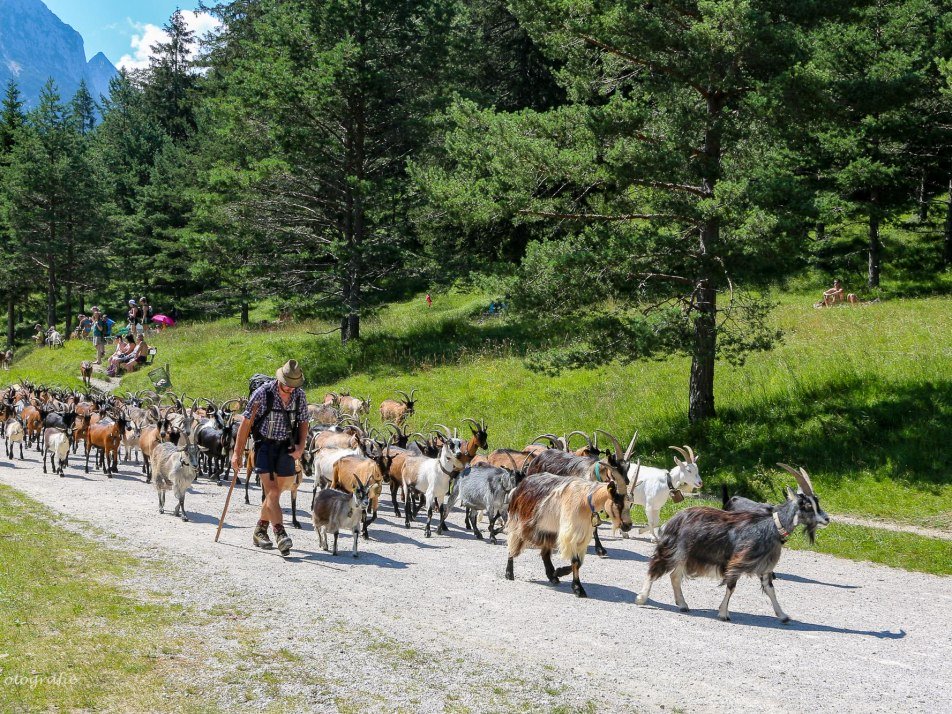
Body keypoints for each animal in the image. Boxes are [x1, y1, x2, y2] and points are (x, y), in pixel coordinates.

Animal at [636, 463, 829, 622]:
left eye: (817, 502)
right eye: (807, 505)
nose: (827, 519)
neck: (773, 525)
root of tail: (675, 518)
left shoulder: (765, 566)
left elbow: (770, 589)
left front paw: (782, 615)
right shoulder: (738, 561)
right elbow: (731, 586)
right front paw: (723, 613)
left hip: (685, 555)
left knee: (675, 576)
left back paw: (683, 604)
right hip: (674, 548)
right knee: (655, 567)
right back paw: (642, 598)